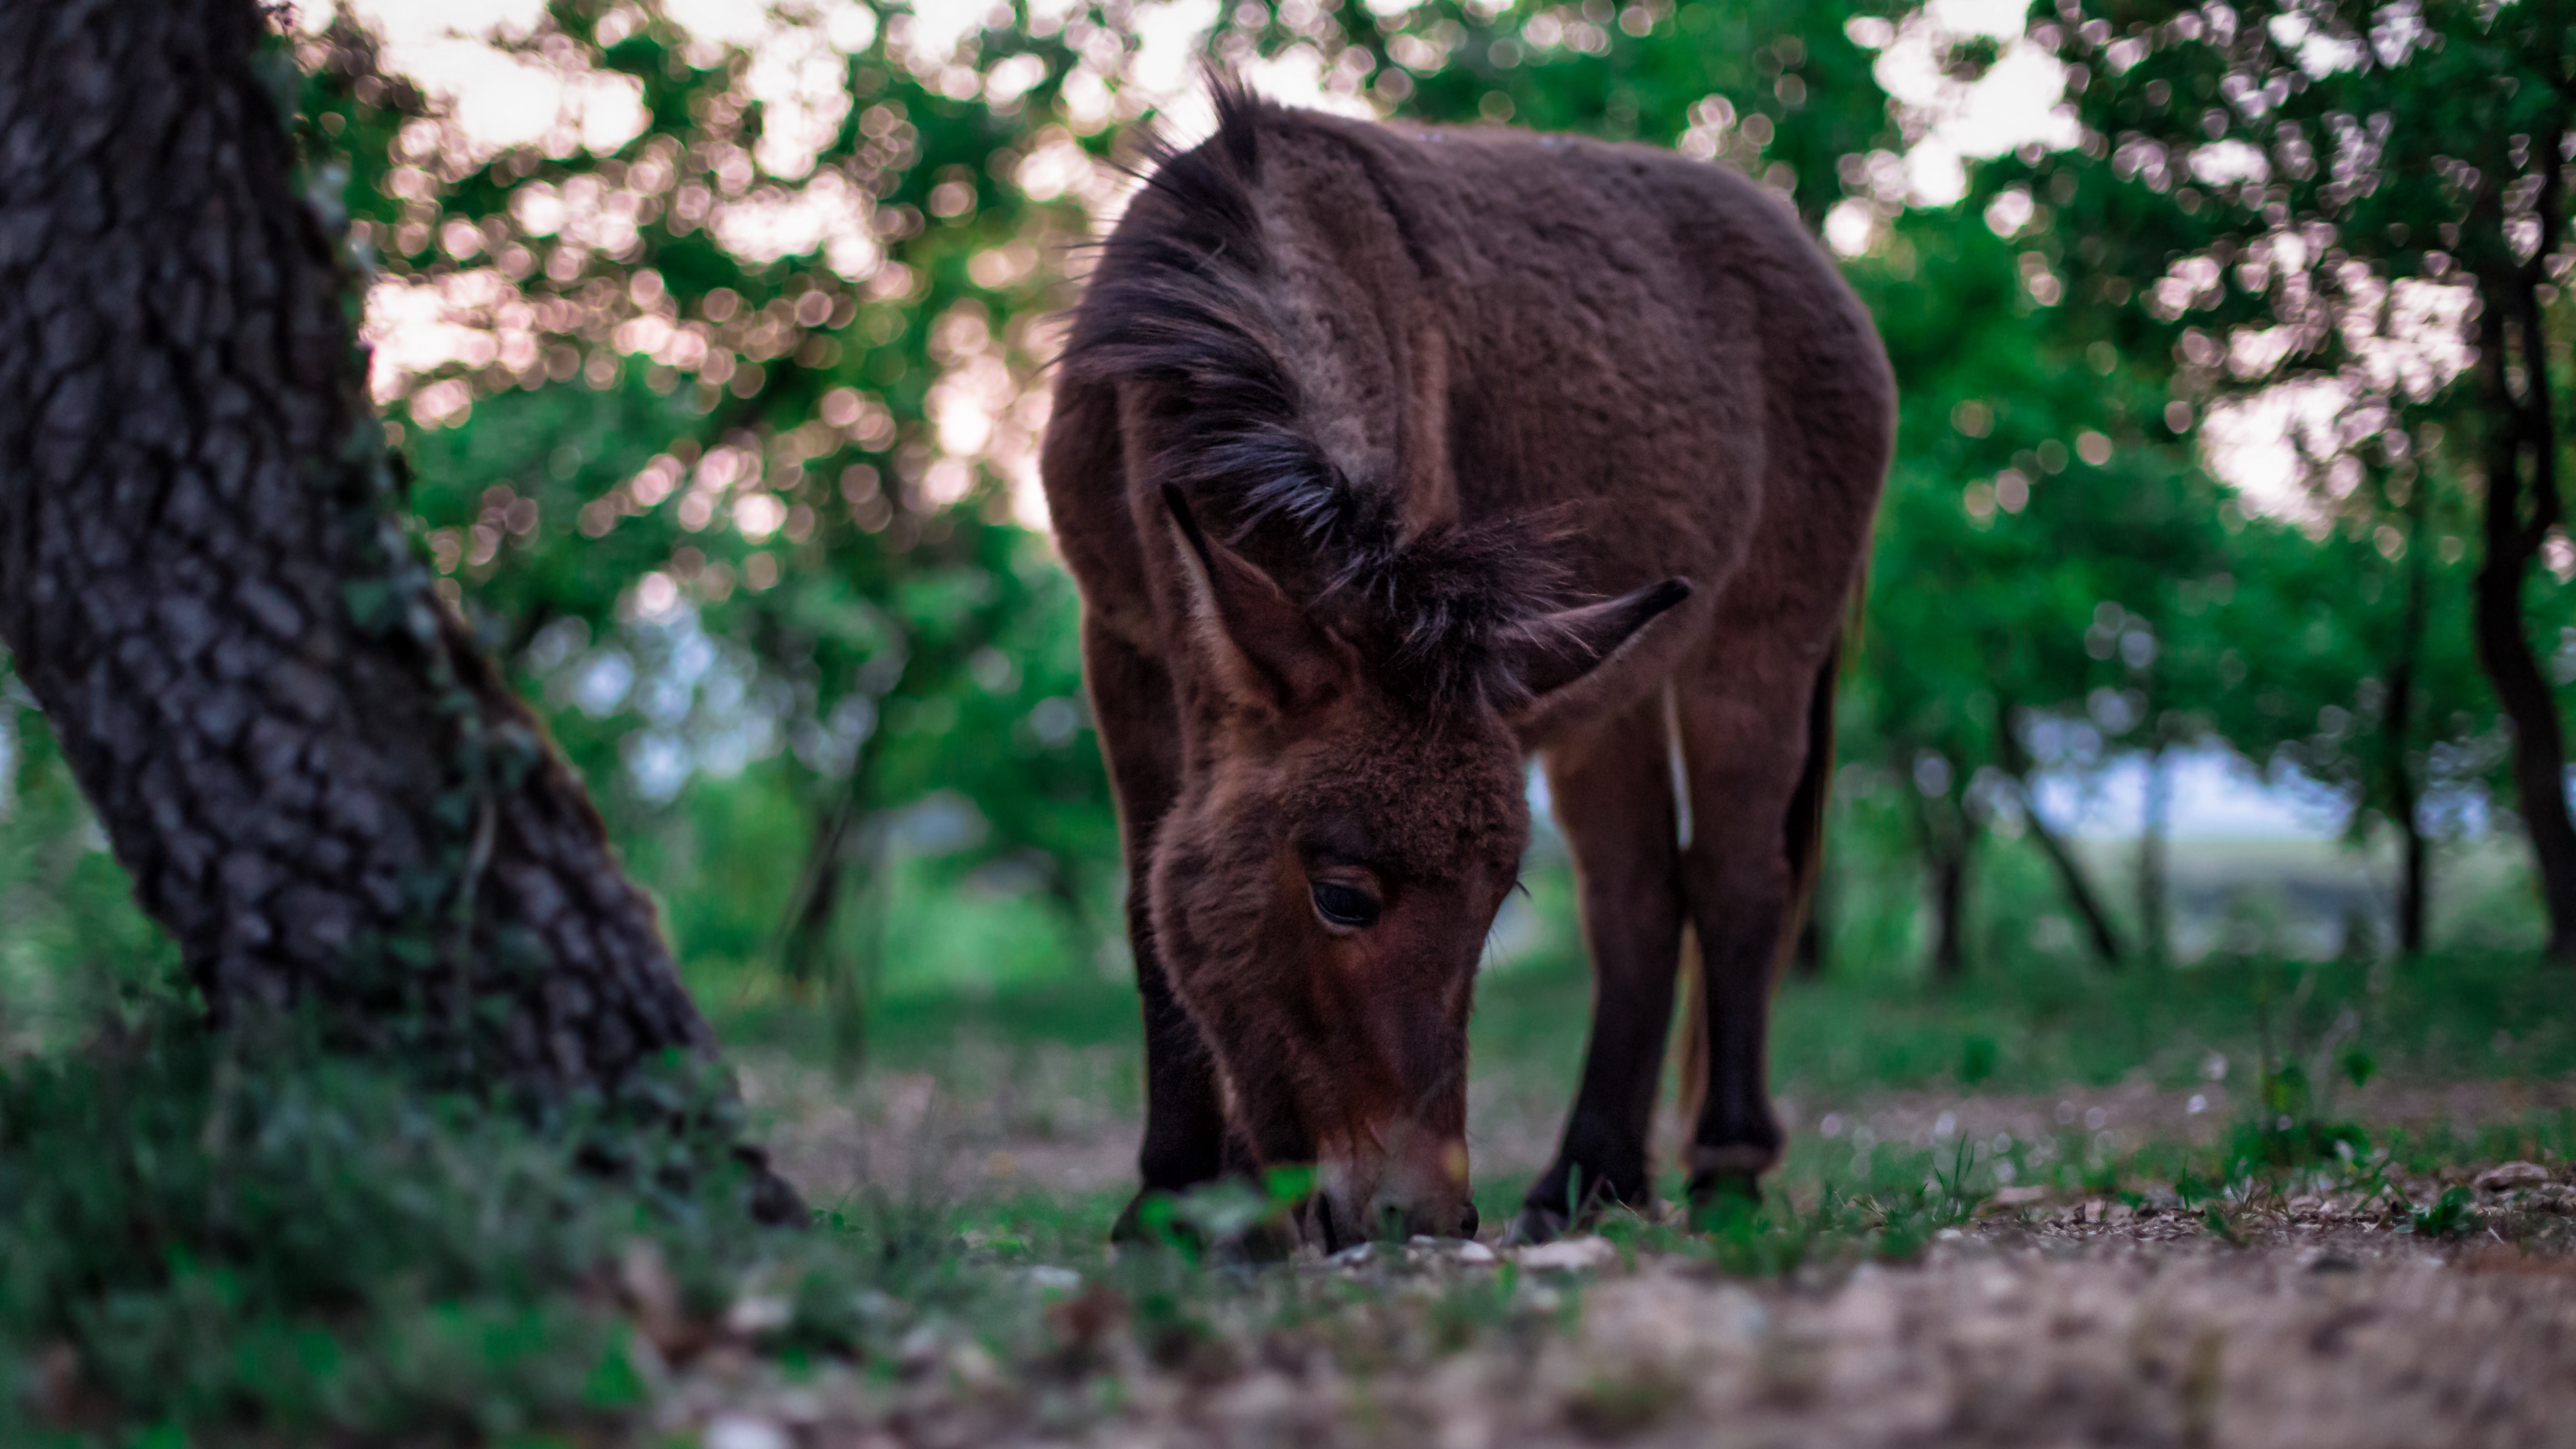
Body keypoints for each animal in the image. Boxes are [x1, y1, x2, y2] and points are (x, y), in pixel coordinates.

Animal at [1040, 84, 1896, 1248]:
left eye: (1496, 903)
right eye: (1343, 897)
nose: (1431, 1218)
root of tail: (1809, 253)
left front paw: (1217, 1209)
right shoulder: (1124, 646)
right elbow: (1146, 908)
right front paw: (1181, 1203)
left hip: (1756, 645)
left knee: (1737, 884)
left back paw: (1723, 1173)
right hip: (1608, 687)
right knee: (1638, 899)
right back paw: (1588, 1180)